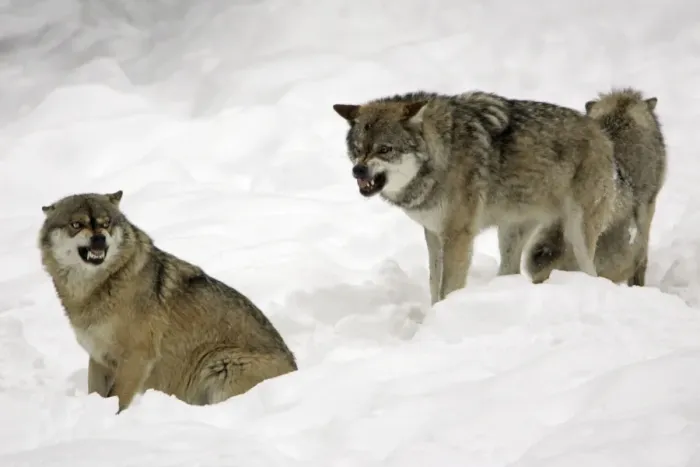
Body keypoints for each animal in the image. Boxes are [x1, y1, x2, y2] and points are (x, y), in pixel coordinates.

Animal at [39, 191, 297, 413]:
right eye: (77, 225)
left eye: (106, 223)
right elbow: (97, 394)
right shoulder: (98, 357)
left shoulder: (137, 357)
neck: (97, 287)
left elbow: (117, 398)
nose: (99, 239)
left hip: (219, 364)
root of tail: (296, 369)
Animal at [333, 90, 619, 304]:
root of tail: (600, 131)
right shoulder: (434, 233)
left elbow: (447, 287)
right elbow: (434, 284)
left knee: (592, 272)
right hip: (511, 234)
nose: (358, 170)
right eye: (357, 149)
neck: (442, 154)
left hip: (578, 235)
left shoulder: (458, 235)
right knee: (509, 271)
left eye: (385, 149)